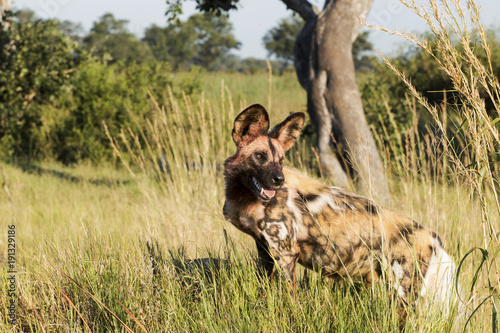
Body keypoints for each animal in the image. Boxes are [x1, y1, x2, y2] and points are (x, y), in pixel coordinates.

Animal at [225, 104, 458, 312]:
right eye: (259, 156)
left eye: (281, 160)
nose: (279, 180)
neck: (246, 198)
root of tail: (434, 239)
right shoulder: (265, 251)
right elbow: (263, 289)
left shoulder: (286, 253)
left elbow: (290, 300)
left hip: (404, 293)